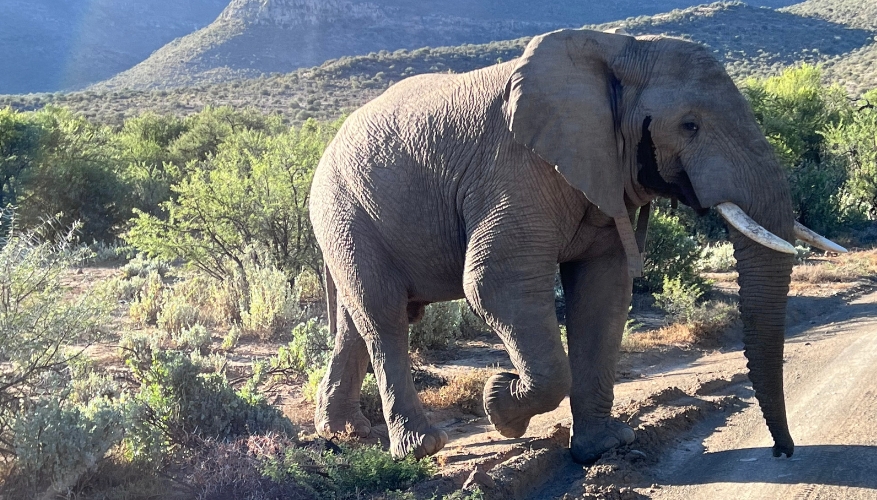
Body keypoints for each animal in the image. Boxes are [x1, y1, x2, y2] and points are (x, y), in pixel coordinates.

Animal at [308, 28, 845, 462]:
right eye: (689, 125)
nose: (781, 452)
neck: (618, 50)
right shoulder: (514, 171)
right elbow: (496, 282)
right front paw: (500, 405)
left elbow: (603, 291)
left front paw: (603, 448)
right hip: (345, 210)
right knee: (385, 317)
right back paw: (422, 447)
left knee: (359, 323)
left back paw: (346, 434)